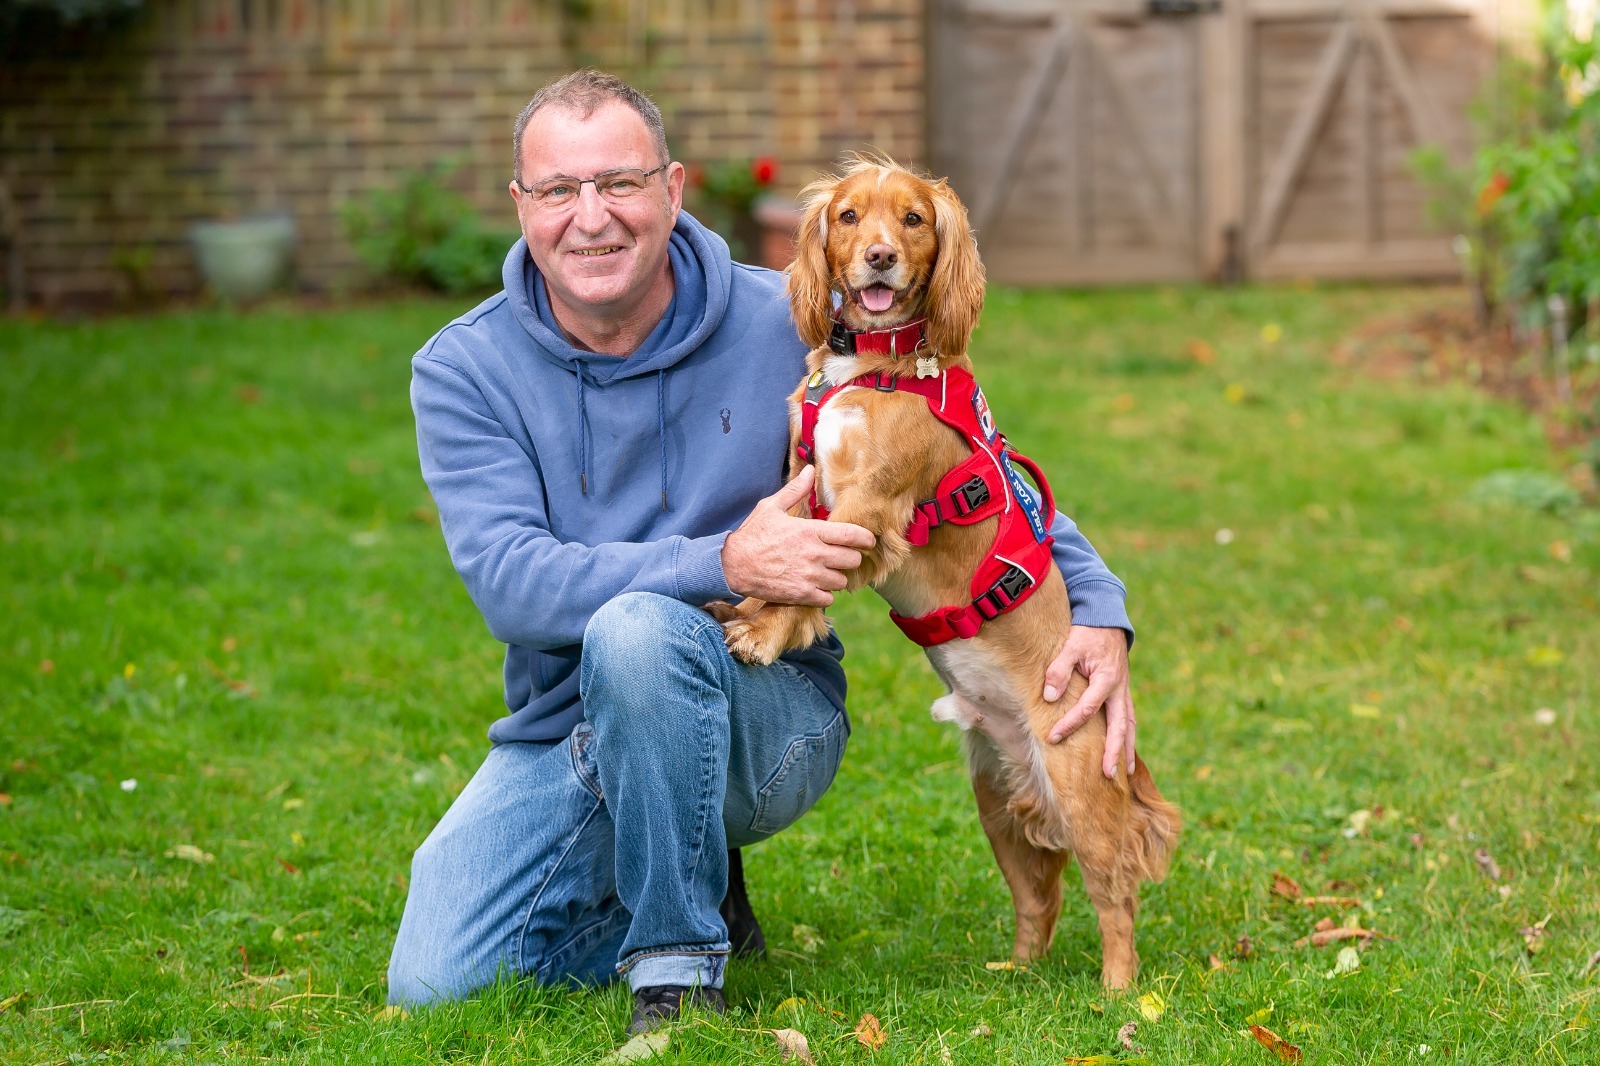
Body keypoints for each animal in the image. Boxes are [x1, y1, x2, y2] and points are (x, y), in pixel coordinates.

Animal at [707, 153, 1184, 985]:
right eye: (849, 216)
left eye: (913, 219)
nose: (879, 258)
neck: (875, 363)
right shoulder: (803, 482)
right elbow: (779, 561)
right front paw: (748, 613)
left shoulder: (866, 506)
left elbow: (806, 577)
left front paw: (763, 636)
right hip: (995, 798)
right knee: (1039, 898)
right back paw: (1015, 975)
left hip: (1078, 788)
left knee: (1114, 892)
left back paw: (1119, 992)